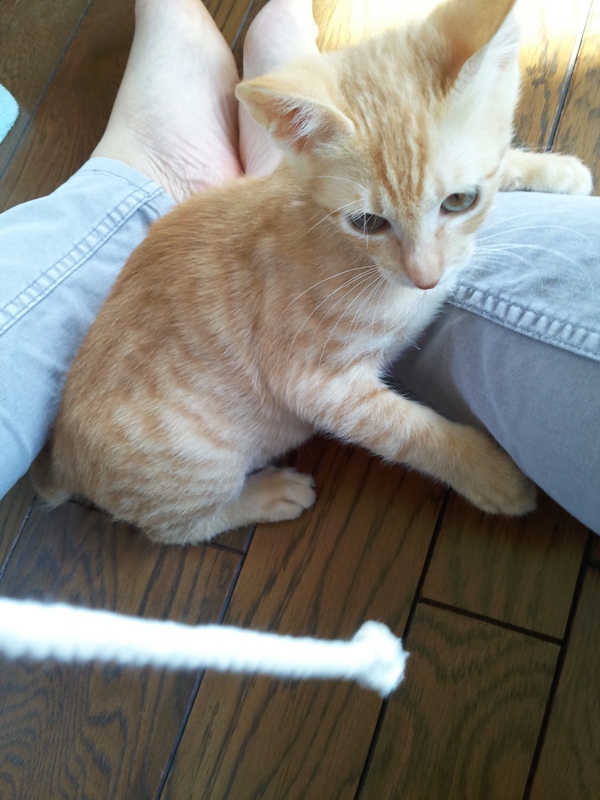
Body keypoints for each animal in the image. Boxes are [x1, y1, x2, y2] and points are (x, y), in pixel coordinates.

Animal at [32, 0, 592, 544]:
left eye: (459, 200)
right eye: (367, 222)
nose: (426, 278)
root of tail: (62, 461)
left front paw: (551, 170)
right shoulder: (316, 385)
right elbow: (413, 432)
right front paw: (491, 475)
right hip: (198, 467)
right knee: (174, 528)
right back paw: (267, 495)